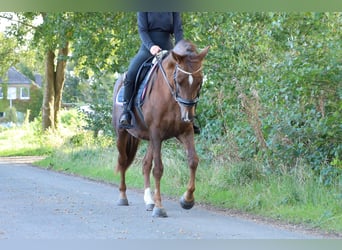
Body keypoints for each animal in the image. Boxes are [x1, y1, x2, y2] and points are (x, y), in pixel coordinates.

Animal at [112, 39, 208, 217]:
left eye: (200, 81)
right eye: (179, 80)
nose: (188, 116)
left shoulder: (184, 132)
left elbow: (193, 160)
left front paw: (187, 199)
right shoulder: (156, 134)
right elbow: (158, 169)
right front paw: (159, 208)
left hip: (150, 138)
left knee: (145, 165)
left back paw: (149, 201)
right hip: (122, 133)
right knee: (122, 161)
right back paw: (123, 197)